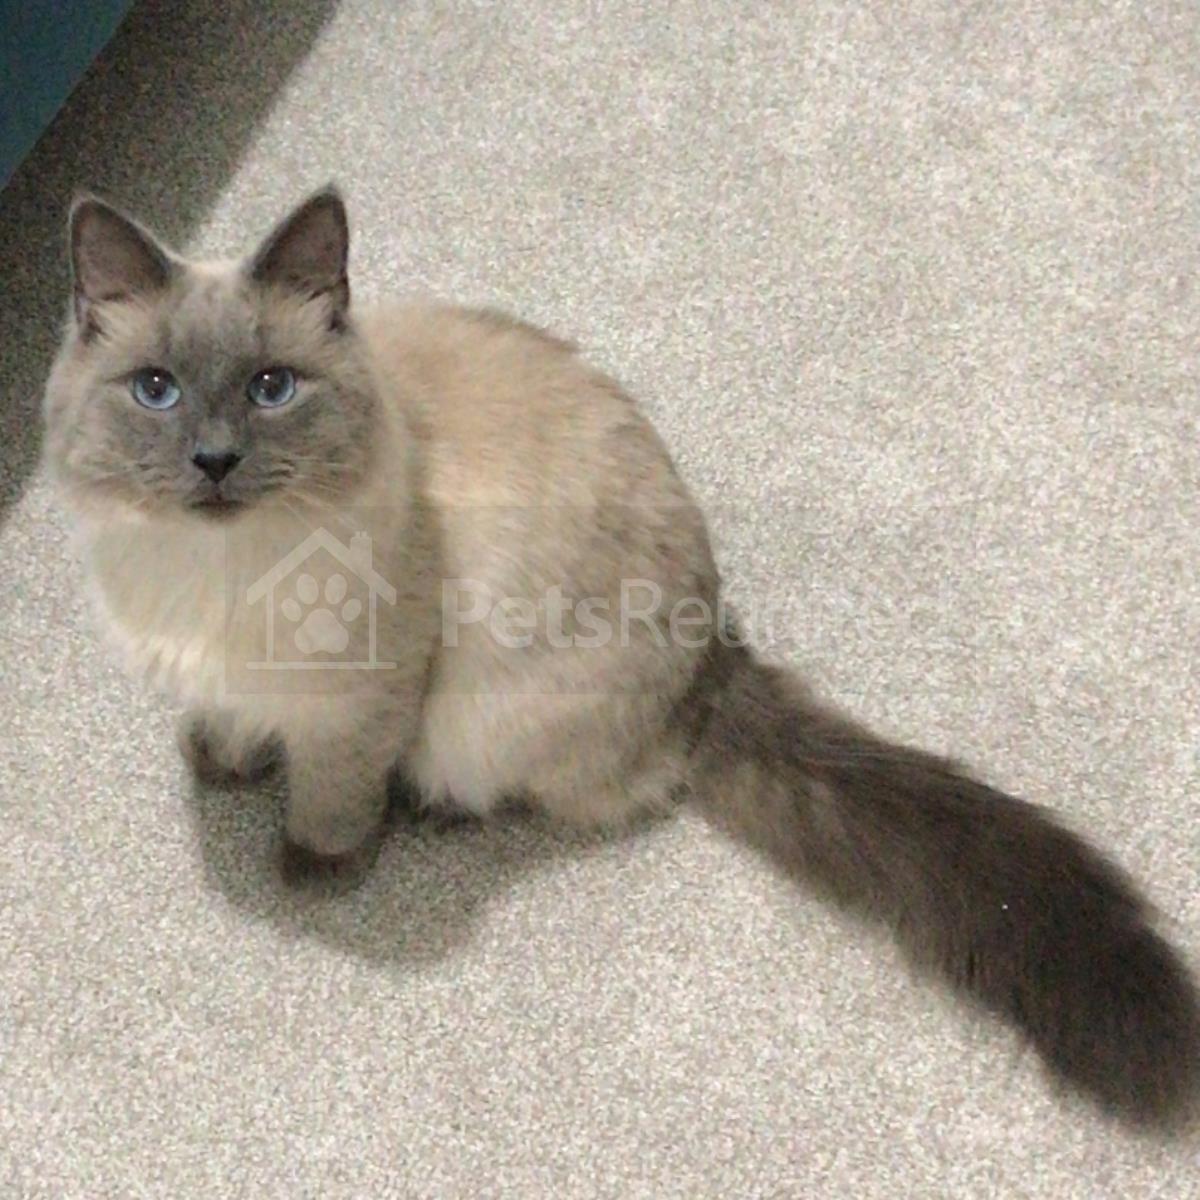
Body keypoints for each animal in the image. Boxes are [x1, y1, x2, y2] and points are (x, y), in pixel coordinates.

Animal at [42, 187, 1199, 1127]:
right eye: (156, 390)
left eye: (272, 387)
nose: (214, 462)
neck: (208, 573)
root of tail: (714, 664)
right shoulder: (224, 674)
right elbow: (231, 726)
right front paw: (221, 767)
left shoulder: (363, 690)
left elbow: (329, 792)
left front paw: (313, 868)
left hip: (493, 710)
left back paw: (433, 807)